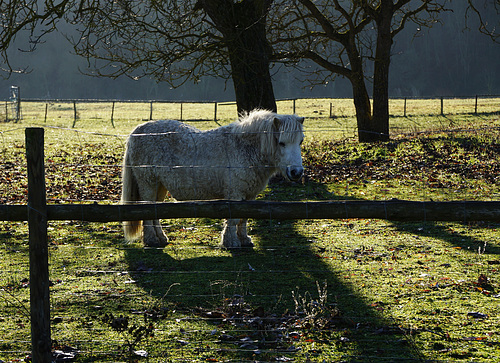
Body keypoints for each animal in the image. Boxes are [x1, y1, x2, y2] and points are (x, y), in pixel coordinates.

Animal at [121, 109, 304, 249]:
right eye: (281, 143)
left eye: (300, 141)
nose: (296, 172)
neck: (244, 148)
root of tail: (136, 132)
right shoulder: (235, 194)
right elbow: (233, 219)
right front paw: (231, 242)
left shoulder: (249, 195)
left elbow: (244, 218)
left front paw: (244, 240)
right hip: (148, 183)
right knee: (147, 211)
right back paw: (151, 240)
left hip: (160, 186)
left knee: (155, 212)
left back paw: (160, 238)